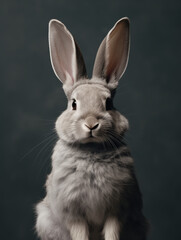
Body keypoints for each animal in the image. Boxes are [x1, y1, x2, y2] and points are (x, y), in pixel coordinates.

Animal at [35, 17, 148, 240]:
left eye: (108, 103)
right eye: (73, 104)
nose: (91, 124)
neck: (91, 149)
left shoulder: (117, 210)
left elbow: (112, 231)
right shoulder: (74, 214)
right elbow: (80, 232)